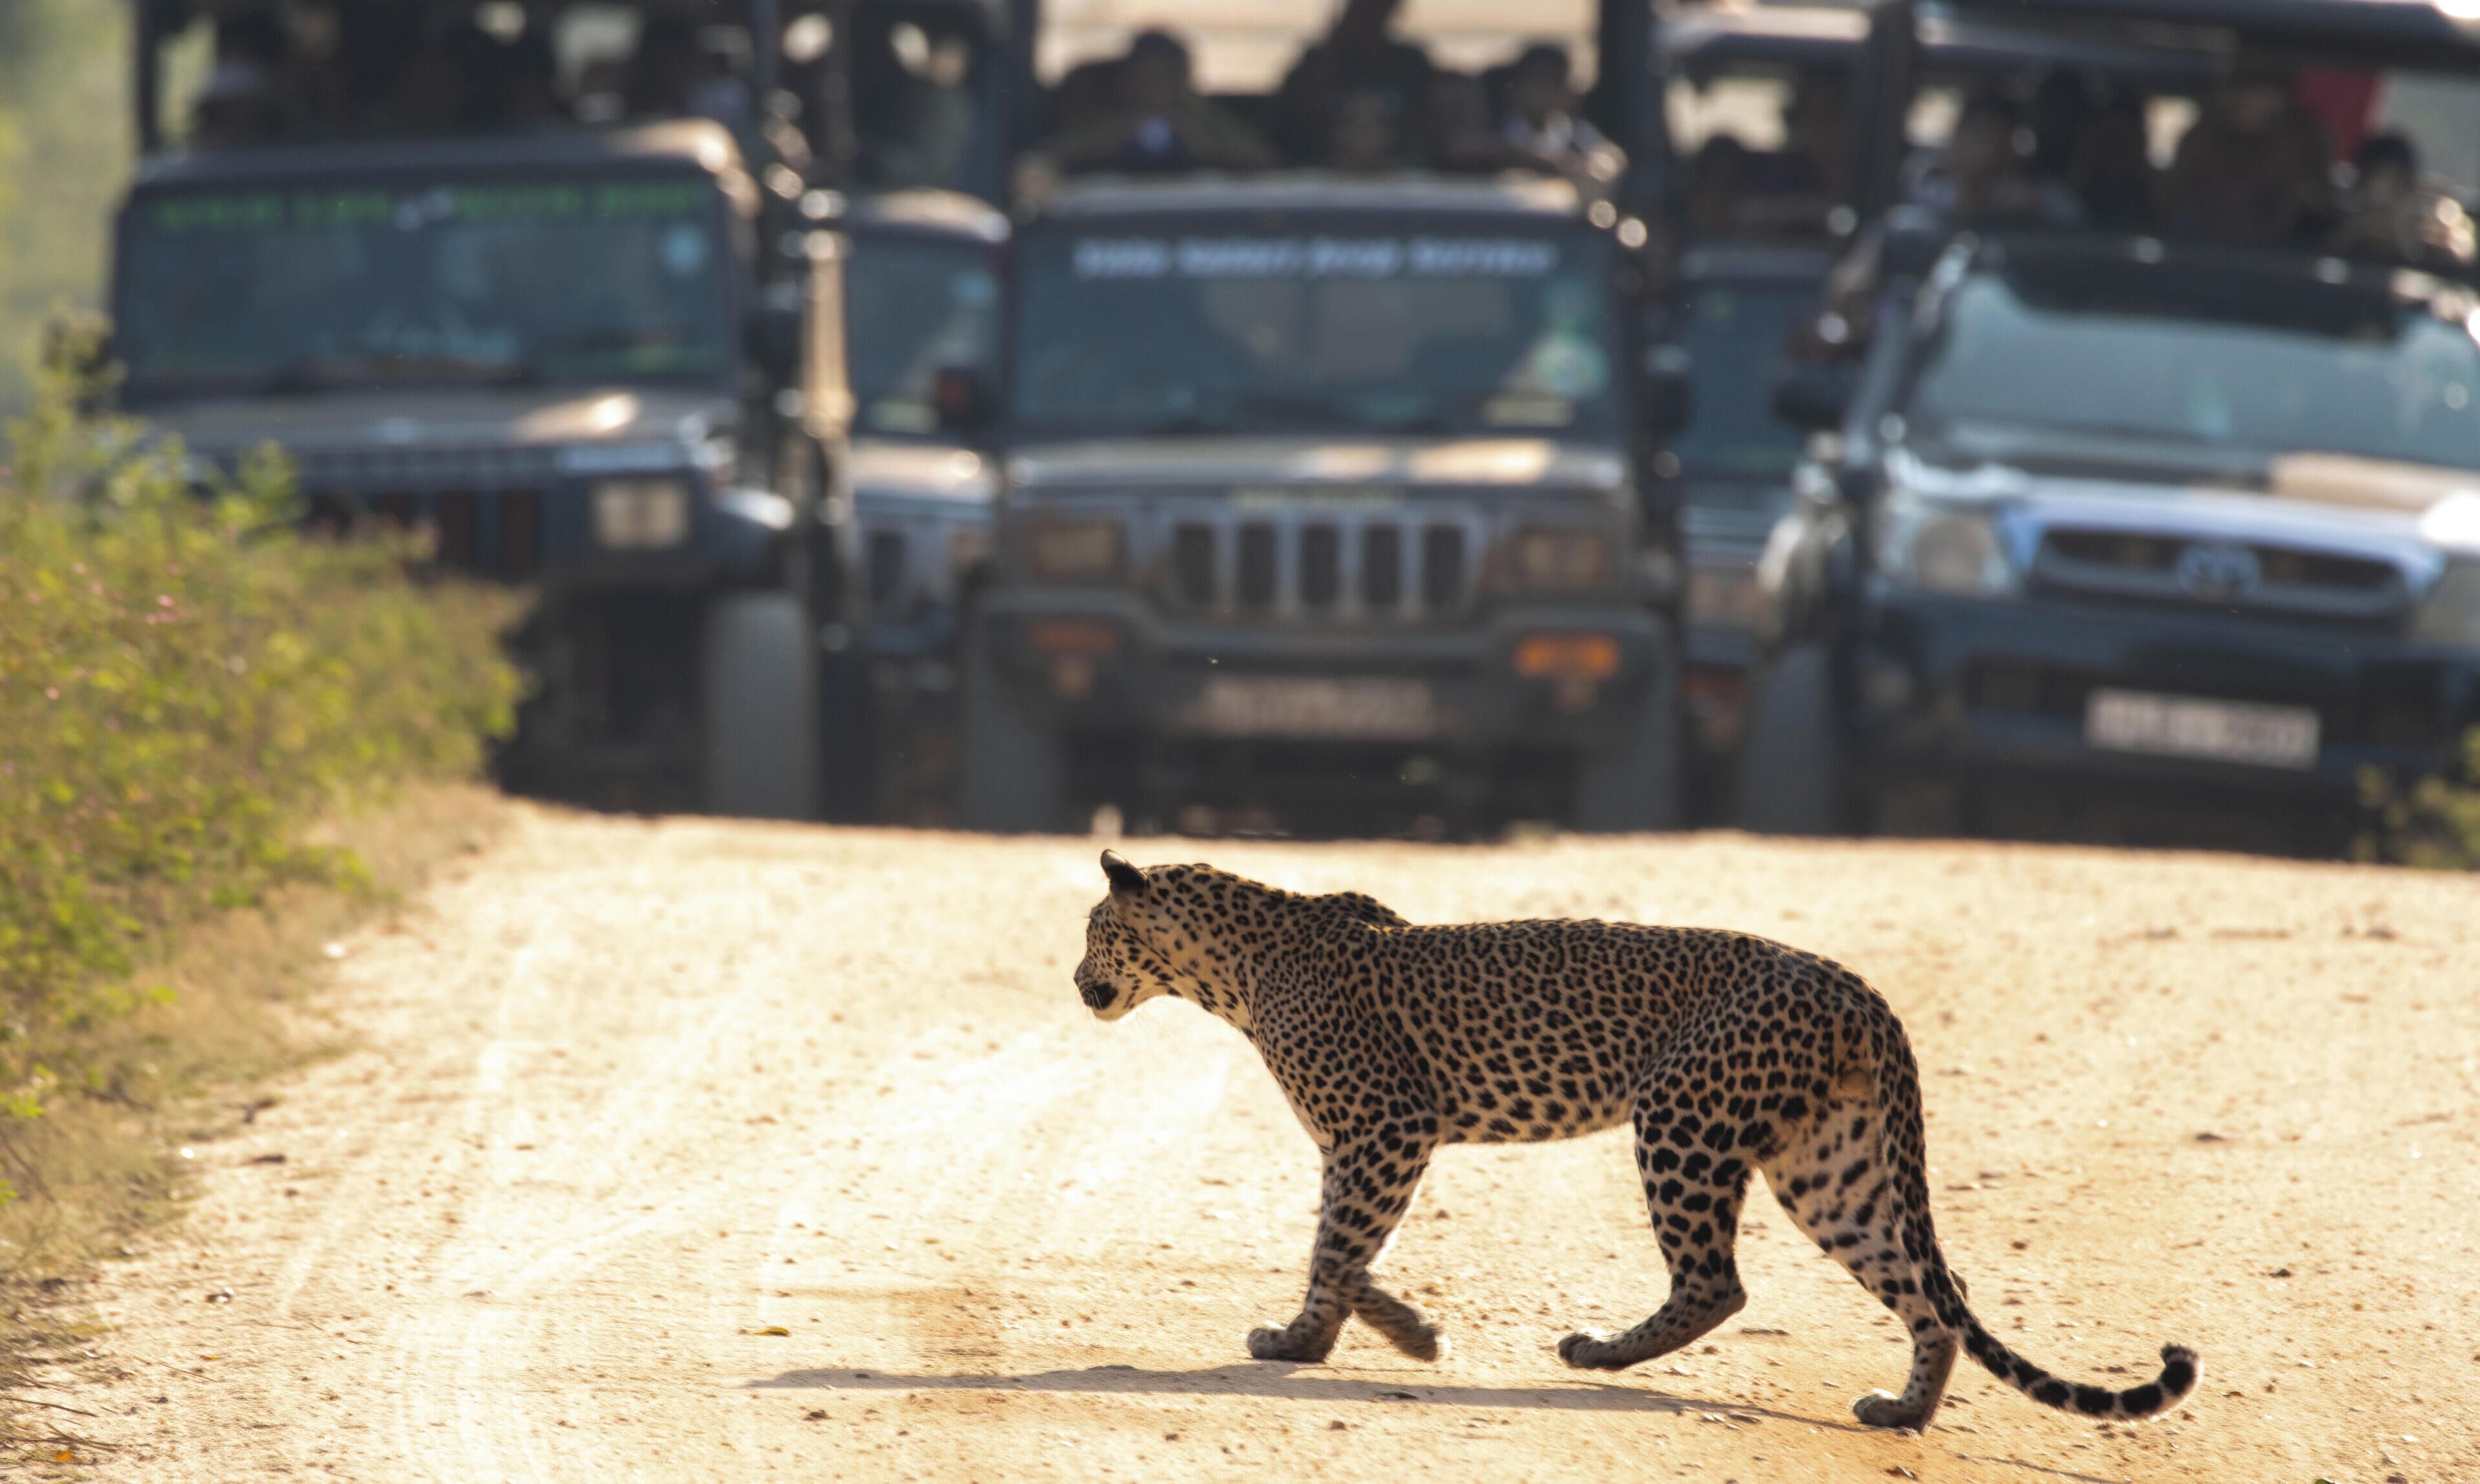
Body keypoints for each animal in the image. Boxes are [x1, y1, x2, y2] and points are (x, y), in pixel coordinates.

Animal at [1072, 850, 2199, 1432]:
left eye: (1094, 932)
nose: (1079, 982)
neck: (1231, 969)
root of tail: (1857, 987)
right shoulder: (1378, 1138)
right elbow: (1341, 1249)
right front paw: (1360, 1332)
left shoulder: (1385, 1127)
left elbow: (1336, 1248)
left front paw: (1344, 1338)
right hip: (1825, 1162)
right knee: (1929, 1287)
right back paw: (1903, 1411)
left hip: (1683, 1118)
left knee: (1718, 1281)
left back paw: (1601, 1350)